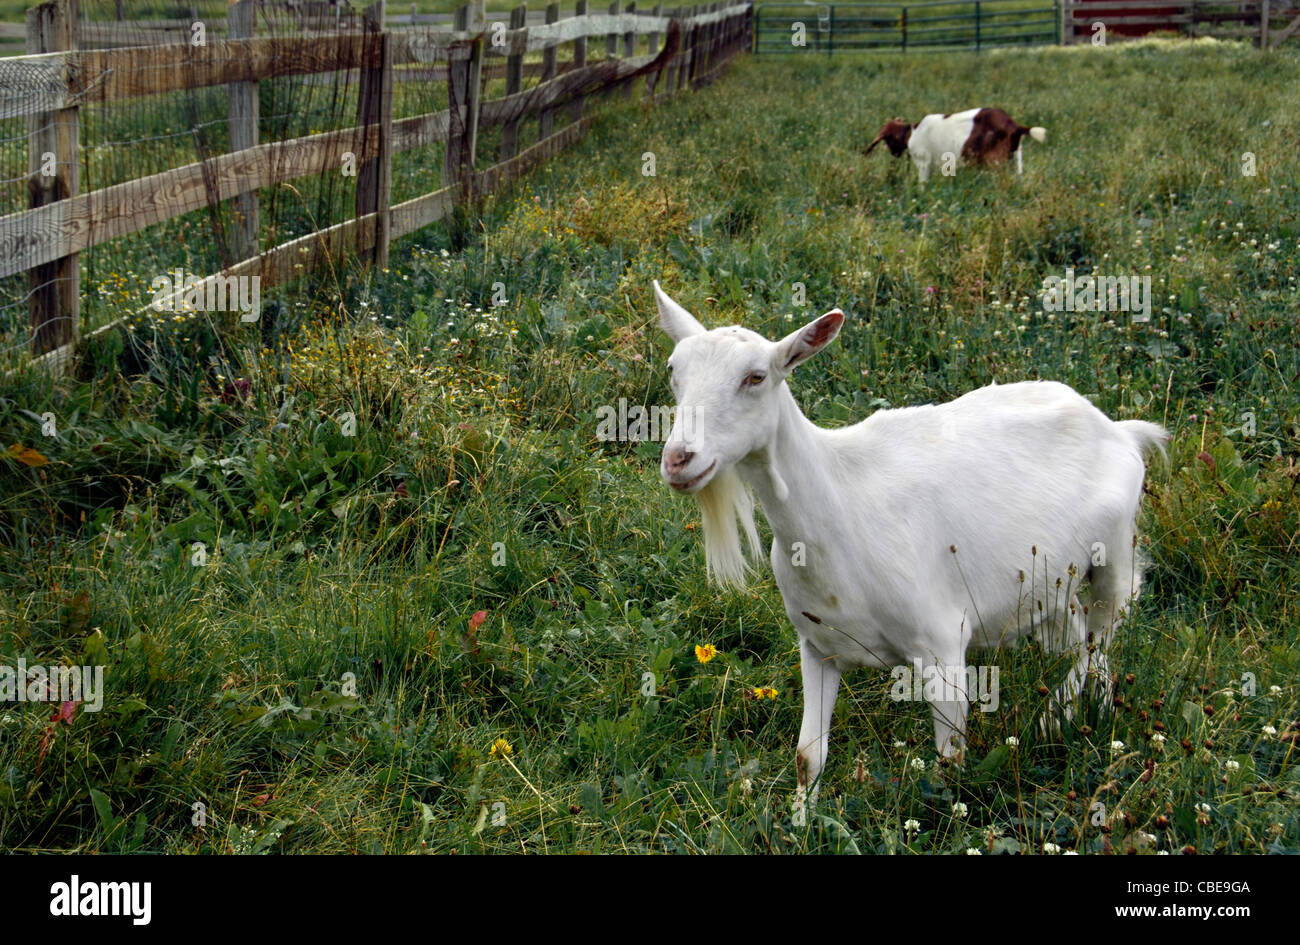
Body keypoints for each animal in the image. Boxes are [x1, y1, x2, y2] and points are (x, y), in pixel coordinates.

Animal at [655, 276, 1175, 811]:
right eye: (674, 371)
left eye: (756, 377)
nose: (679, 459)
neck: (839, 500)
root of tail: (1120, 431)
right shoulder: (817, 645)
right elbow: (808, 757)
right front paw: (800, 819)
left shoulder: (942, 645)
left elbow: (950, 762)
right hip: (1049, 583)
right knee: (1078, 635)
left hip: (1115, 557)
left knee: (1102, 640)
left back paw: (1056, 718)